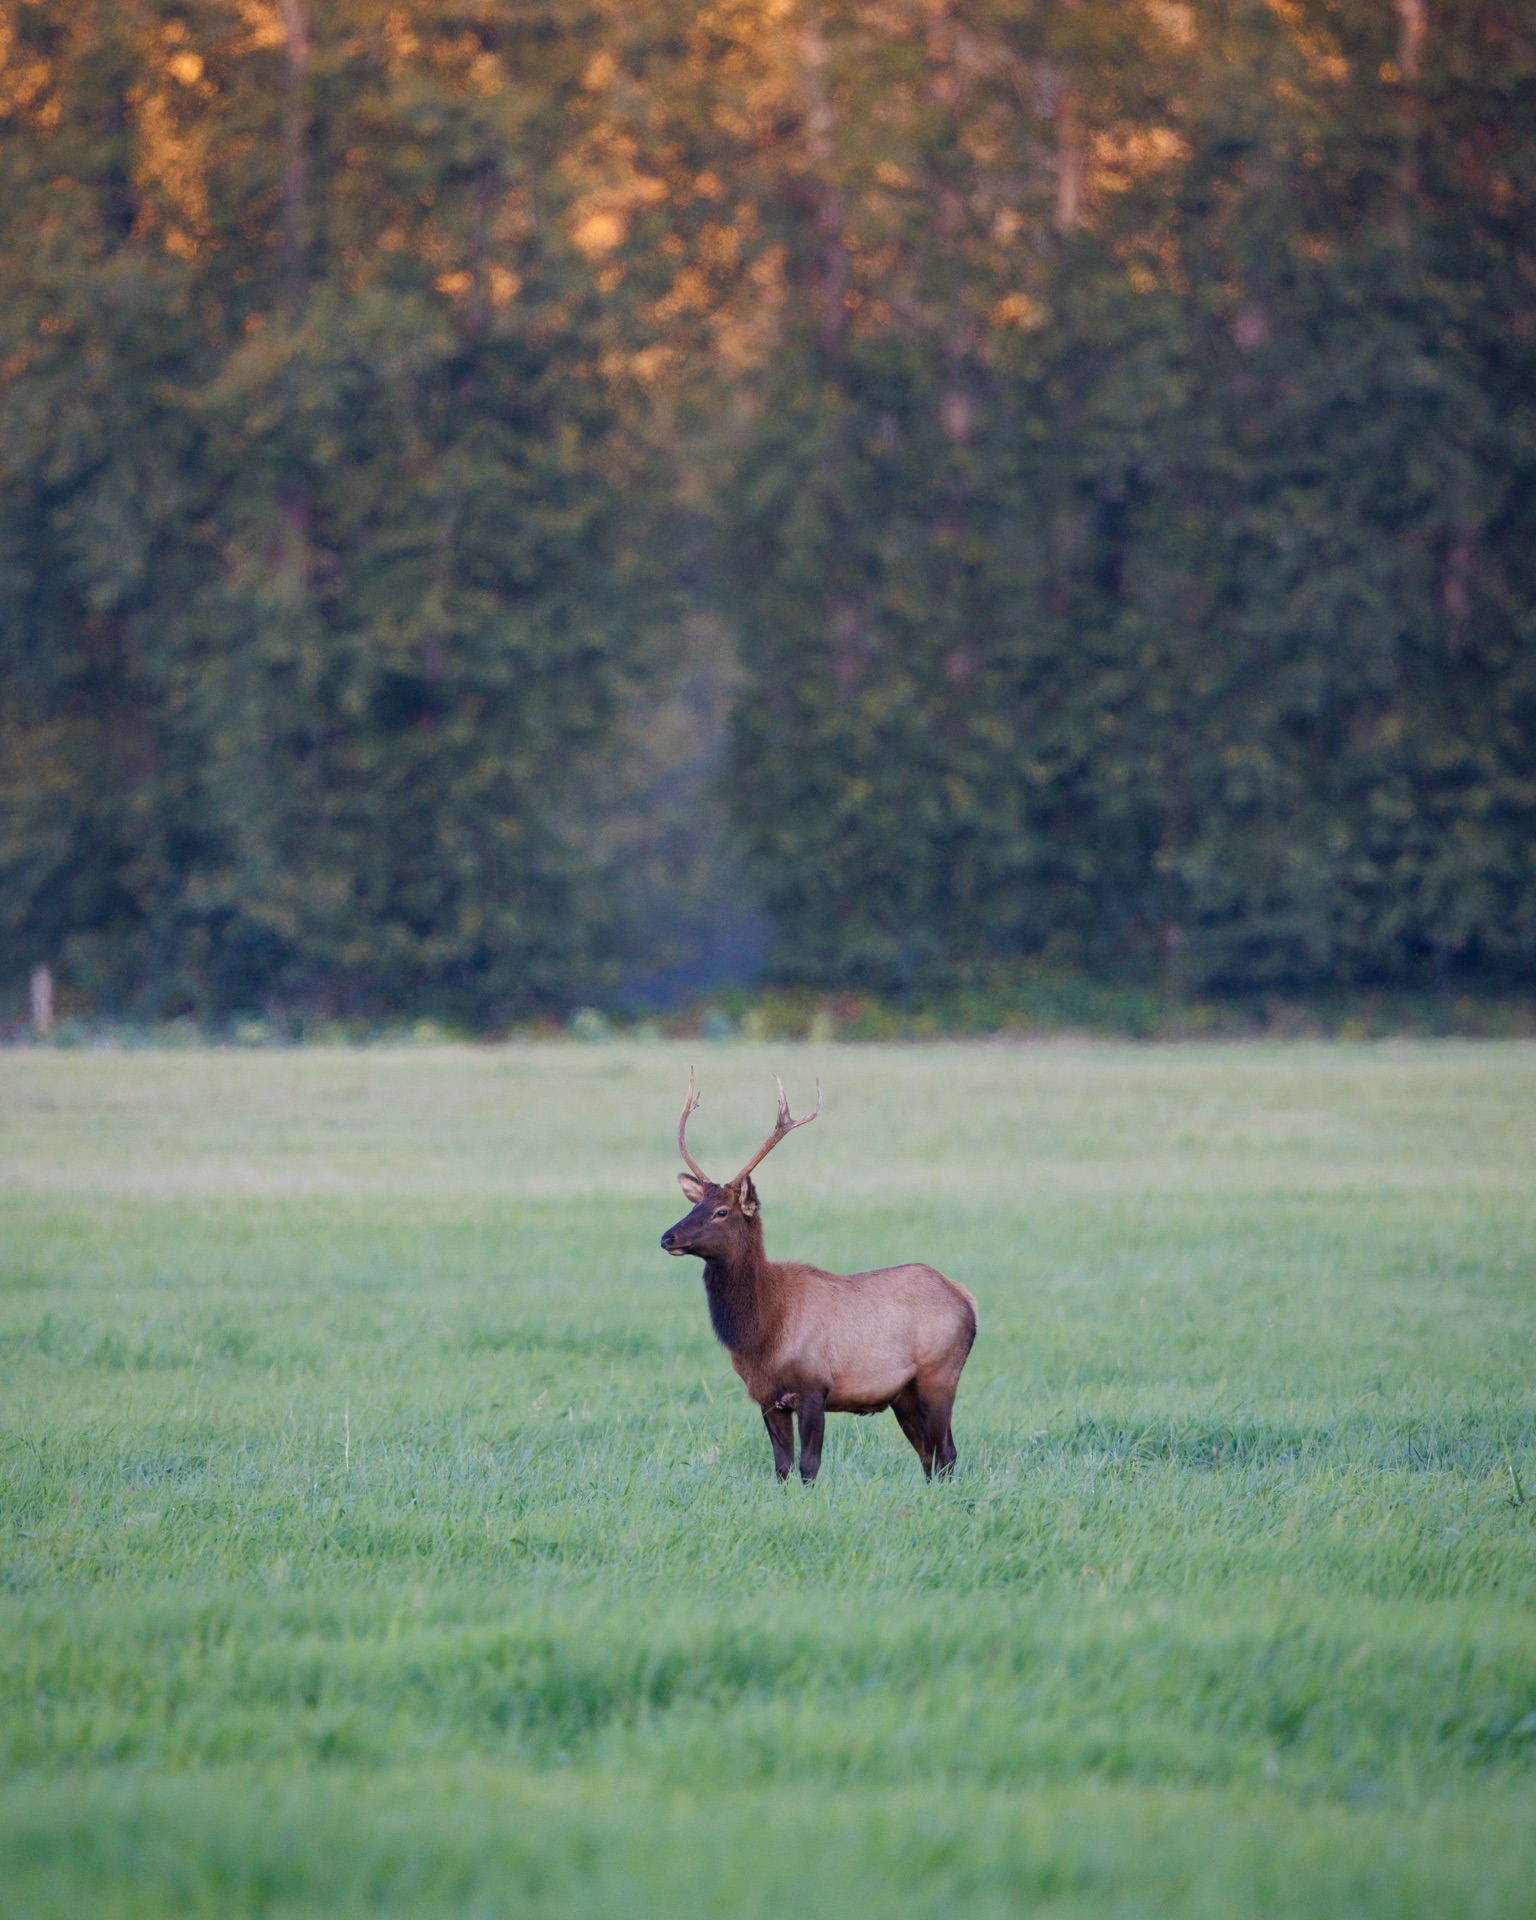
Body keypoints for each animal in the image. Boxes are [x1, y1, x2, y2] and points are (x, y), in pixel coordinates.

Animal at [659, 1071, 977, 1483]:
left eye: (721, 1212)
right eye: (694, 1204)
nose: (668, 1237)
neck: (762, 1333)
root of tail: (967, 1298)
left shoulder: (814, 1387)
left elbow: (809, 1466)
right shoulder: (767, 1397)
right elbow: (781, 1467)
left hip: (940, 1374)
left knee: (947, 1452)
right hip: (903, 1393)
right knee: (929, 1455)